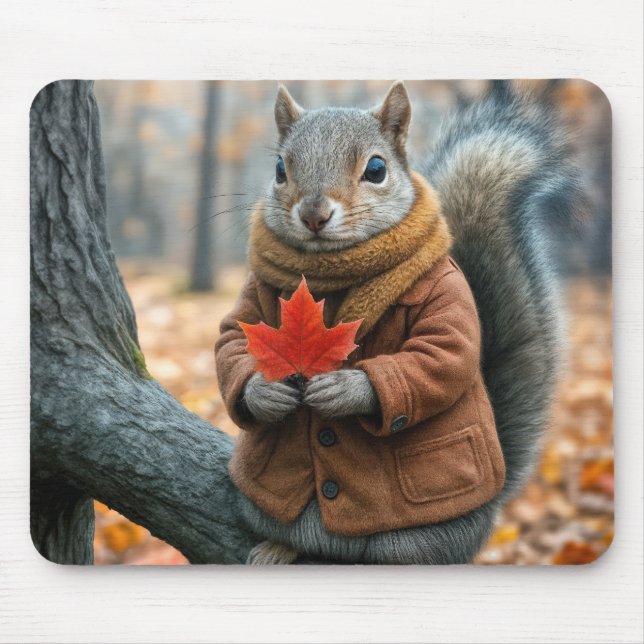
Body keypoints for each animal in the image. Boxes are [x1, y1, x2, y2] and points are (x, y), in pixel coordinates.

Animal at [215, 81, 584, 564]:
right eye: (279, 168)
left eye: (376, 169)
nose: (313, 214)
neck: (331, 274)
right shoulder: (253, 296)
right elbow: (233, 338)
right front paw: (264, 392)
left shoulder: (447, 291)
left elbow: (443, 352)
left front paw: (346, 389)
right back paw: (279, 547)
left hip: (418, 536)